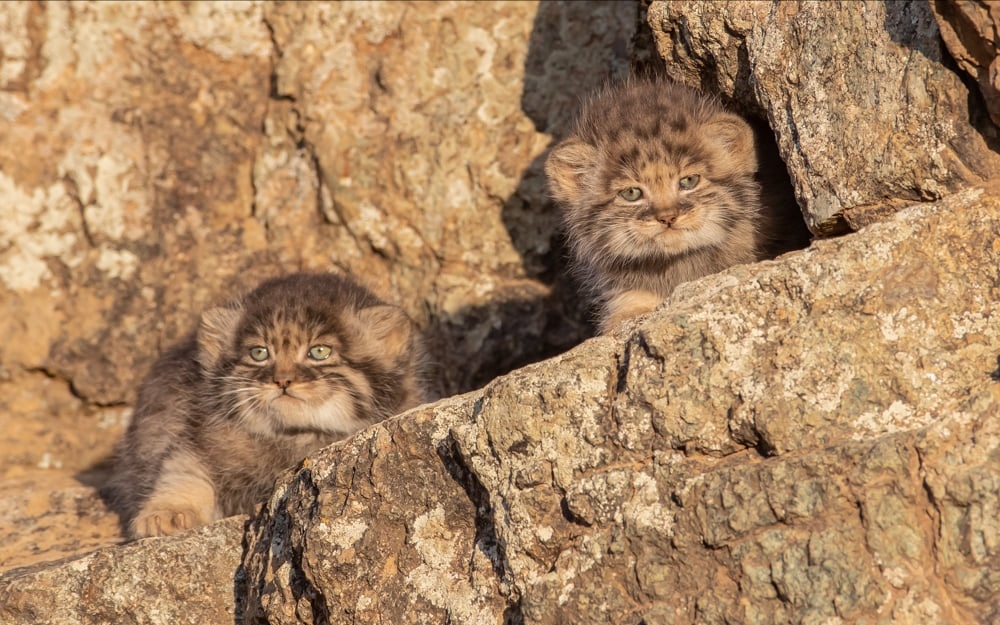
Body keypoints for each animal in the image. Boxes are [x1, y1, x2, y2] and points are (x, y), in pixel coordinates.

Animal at [106, 270, 426, 540]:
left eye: (319, 352)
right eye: (259, 353)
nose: (282, 380)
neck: (292, 439)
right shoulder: (190, 438)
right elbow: (183, 473)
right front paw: (167, 513)